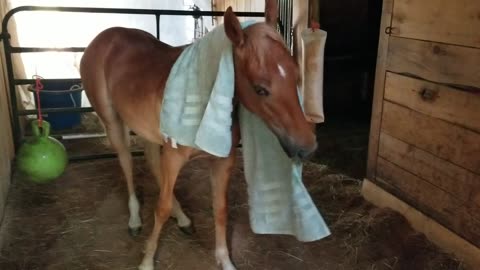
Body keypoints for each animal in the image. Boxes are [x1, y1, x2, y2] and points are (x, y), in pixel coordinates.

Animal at [80, 1, 316, 268]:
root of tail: (103, 37)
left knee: (151, 162)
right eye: (261, 89)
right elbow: (160, 208)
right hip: (112, 122)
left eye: (296, 77)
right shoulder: (173, 157)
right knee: (126, 163)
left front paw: (225, 260)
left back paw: (182, 218)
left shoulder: (222, 161)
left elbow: (220, 209)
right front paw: (147, 260)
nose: (307, 147)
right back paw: (134, 220)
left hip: (147, 131)